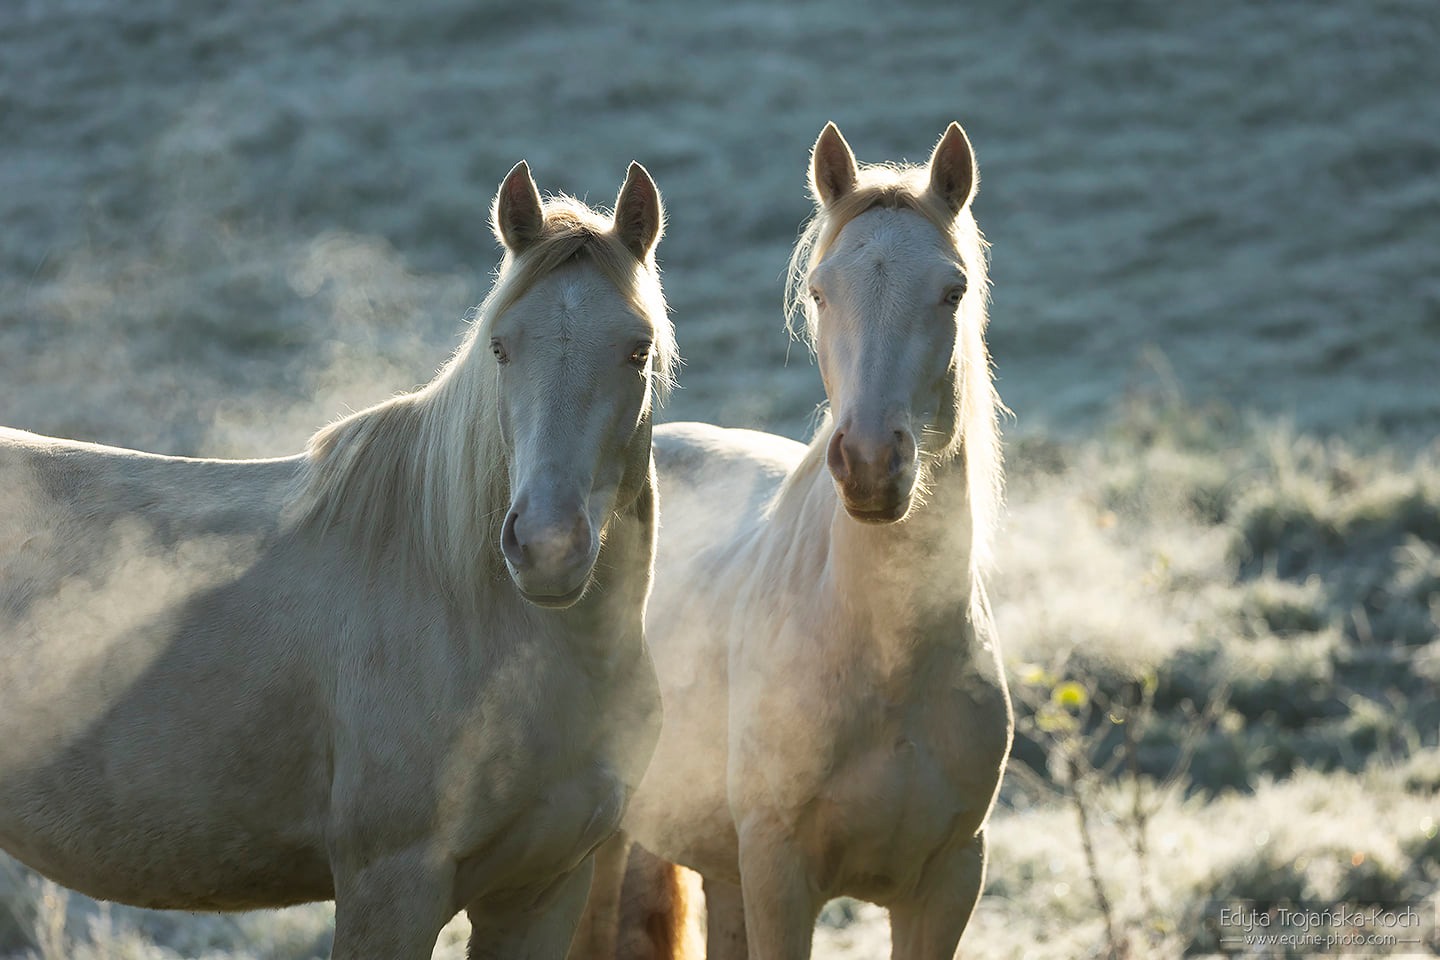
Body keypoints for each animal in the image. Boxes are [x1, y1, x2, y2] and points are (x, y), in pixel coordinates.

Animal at [573, 123, 1013, 960]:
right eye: (819, 291)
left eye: (953, 291)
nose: (870, 463)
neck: (886, 658)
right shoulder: (781, 874)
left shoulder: (948, 882)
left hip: (716, 865)